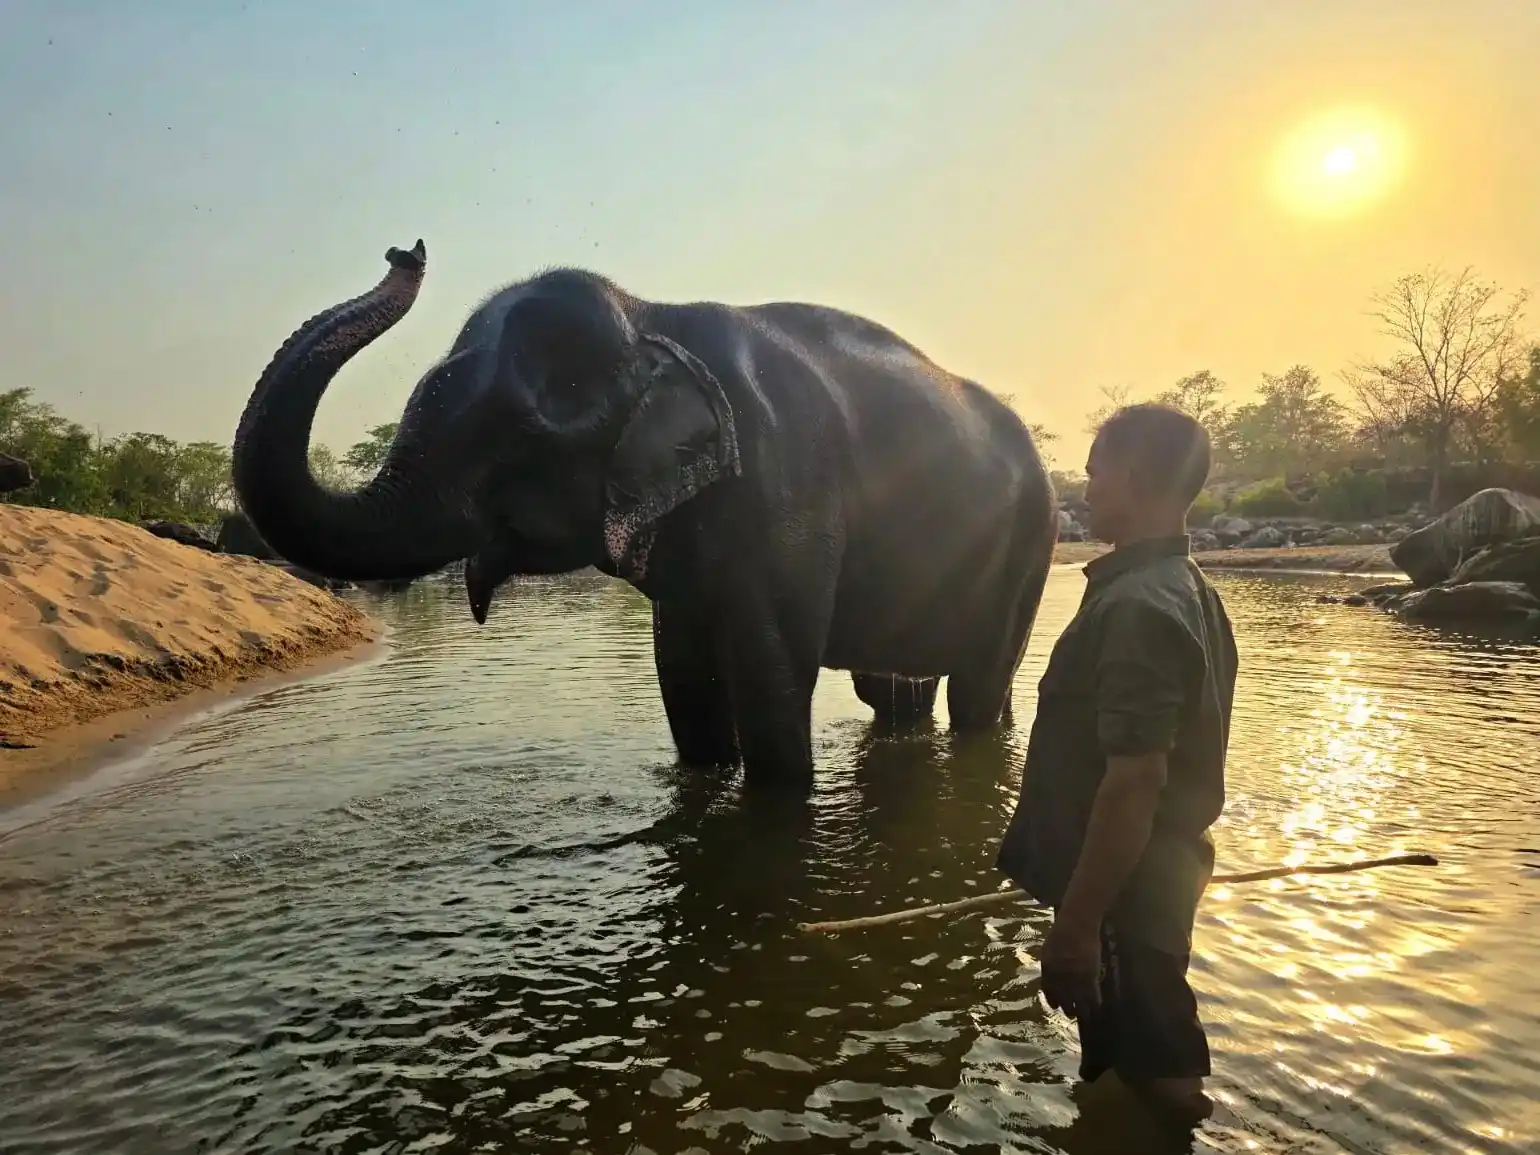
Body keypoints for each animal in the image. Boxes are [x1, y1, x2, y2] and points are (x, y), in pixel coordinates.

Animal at [231, 240, 1058, 785]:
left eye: (520, 429)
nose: (407, 249)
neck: (654, 317)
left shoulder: (790, 494)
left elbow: (772, 683)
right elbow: (683, 676)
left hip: (1031, 543)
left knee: (980, 686)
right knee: (897, 692)